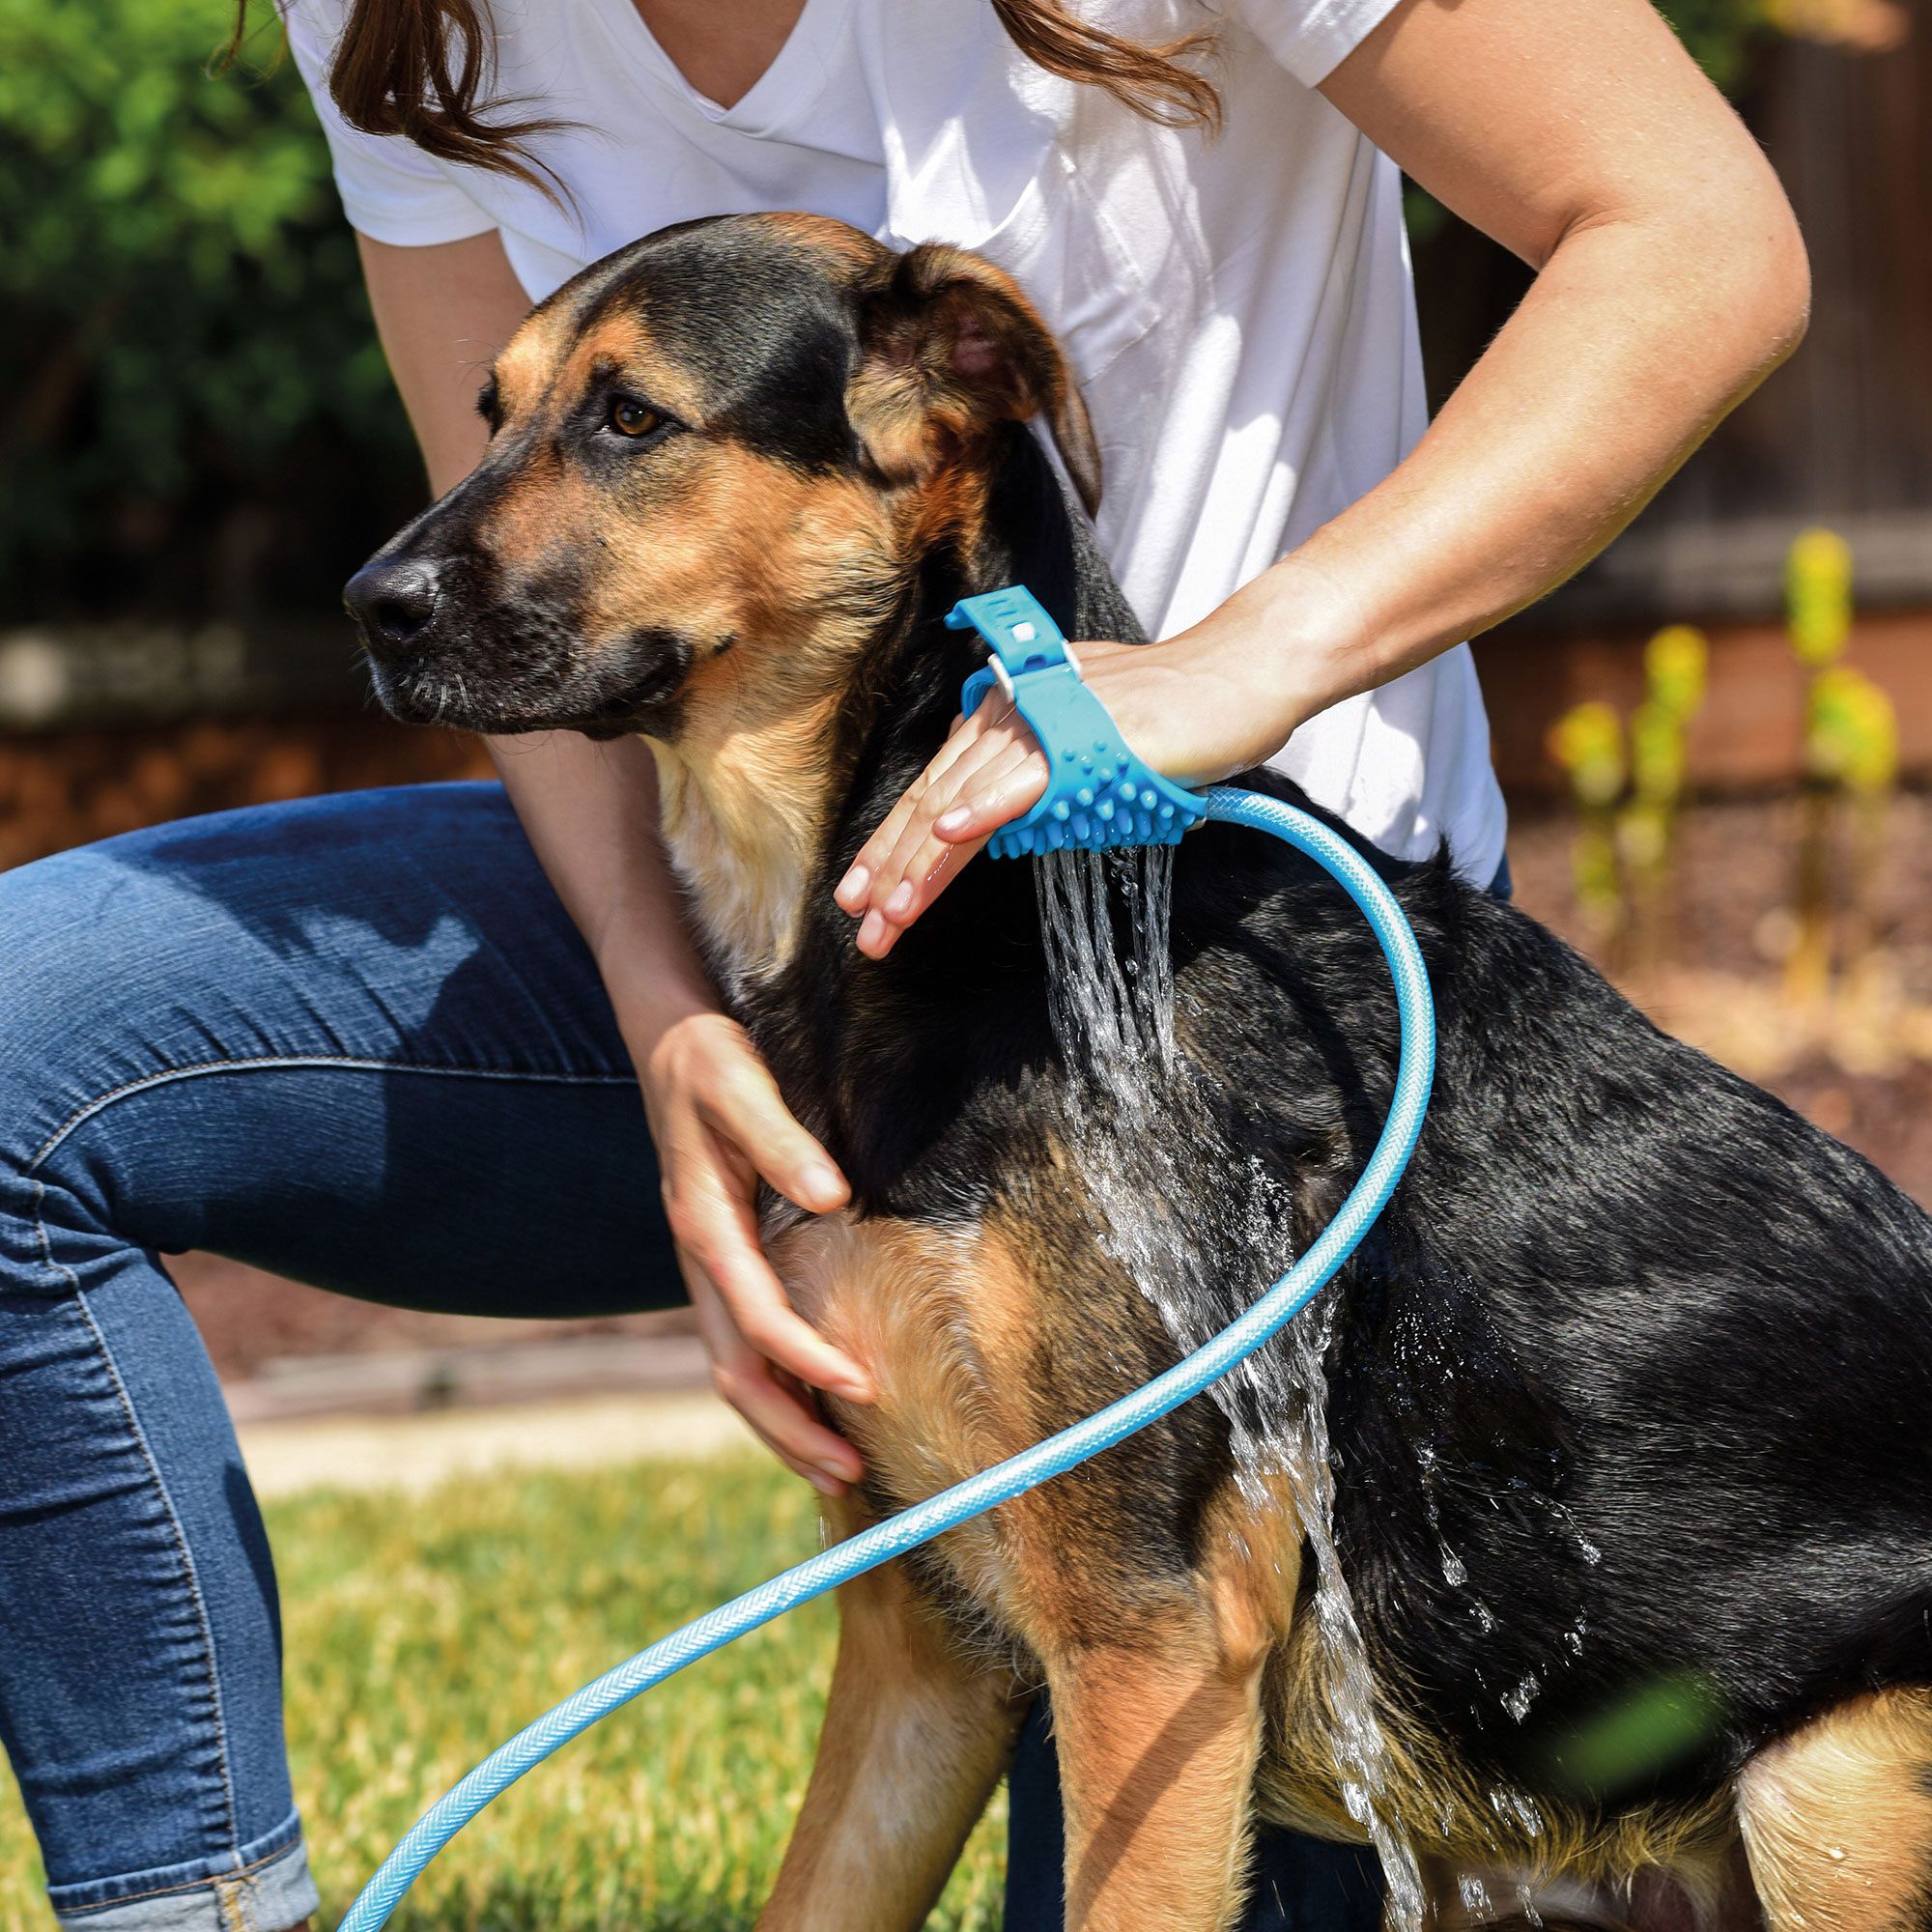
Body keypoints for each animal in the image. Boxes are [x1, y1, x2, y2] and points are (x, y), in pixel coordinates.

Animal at [344, 212, 1932, 1932]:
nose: (368, 604)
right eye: (492, 413)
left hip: (1832, 1785)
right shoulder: (919, 1641)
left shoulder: (1146, 1639)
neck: (973, 895)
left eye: (633, 418)